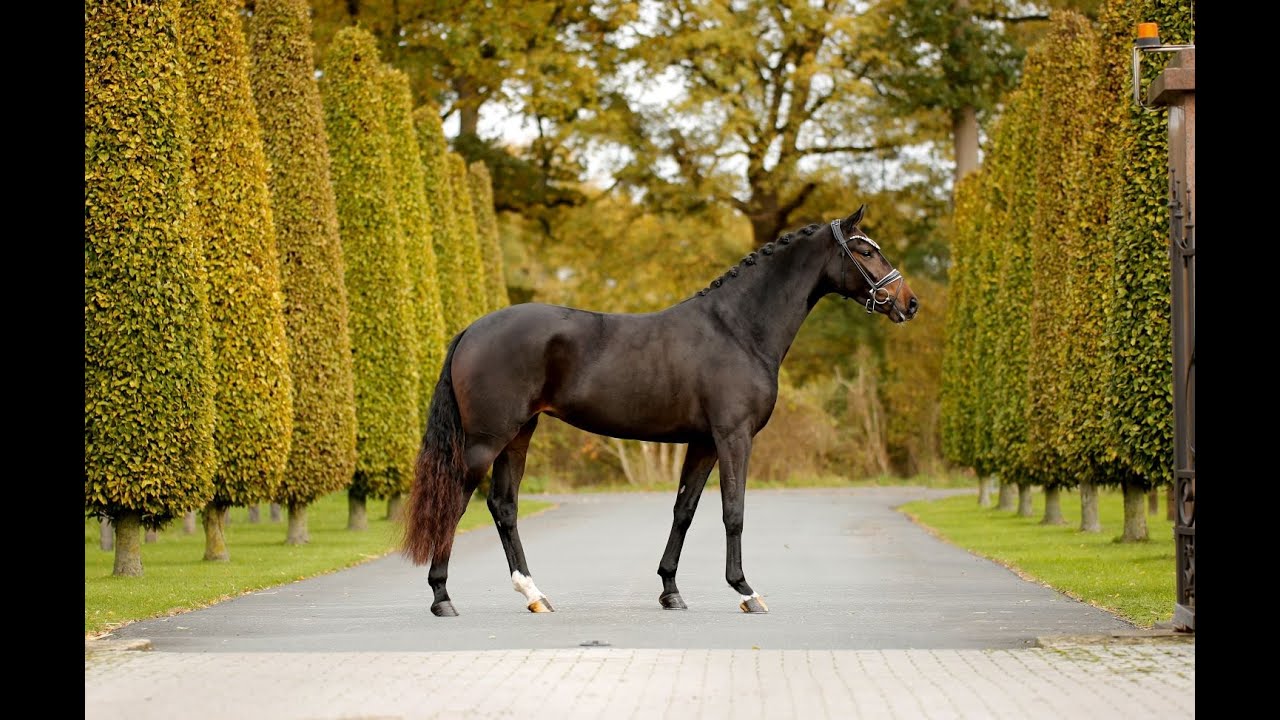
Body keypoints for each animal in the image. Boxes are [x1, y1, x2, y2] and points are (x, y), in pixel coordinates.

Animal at [403, 204, 919, 616]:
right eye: (864, 250)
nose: (908, 303)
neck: (737, 329)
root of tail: (472, 330)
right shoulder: (733, 436)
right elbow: (734, 511)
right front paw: (745, 590)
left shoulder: (703, 442)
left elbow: (684, 510)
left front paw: (671, 590)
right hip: (487, 439)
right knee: (456, 500)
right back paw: (442, 597)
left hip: (519, 433)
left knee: (504, 505)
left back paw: (534, 594)